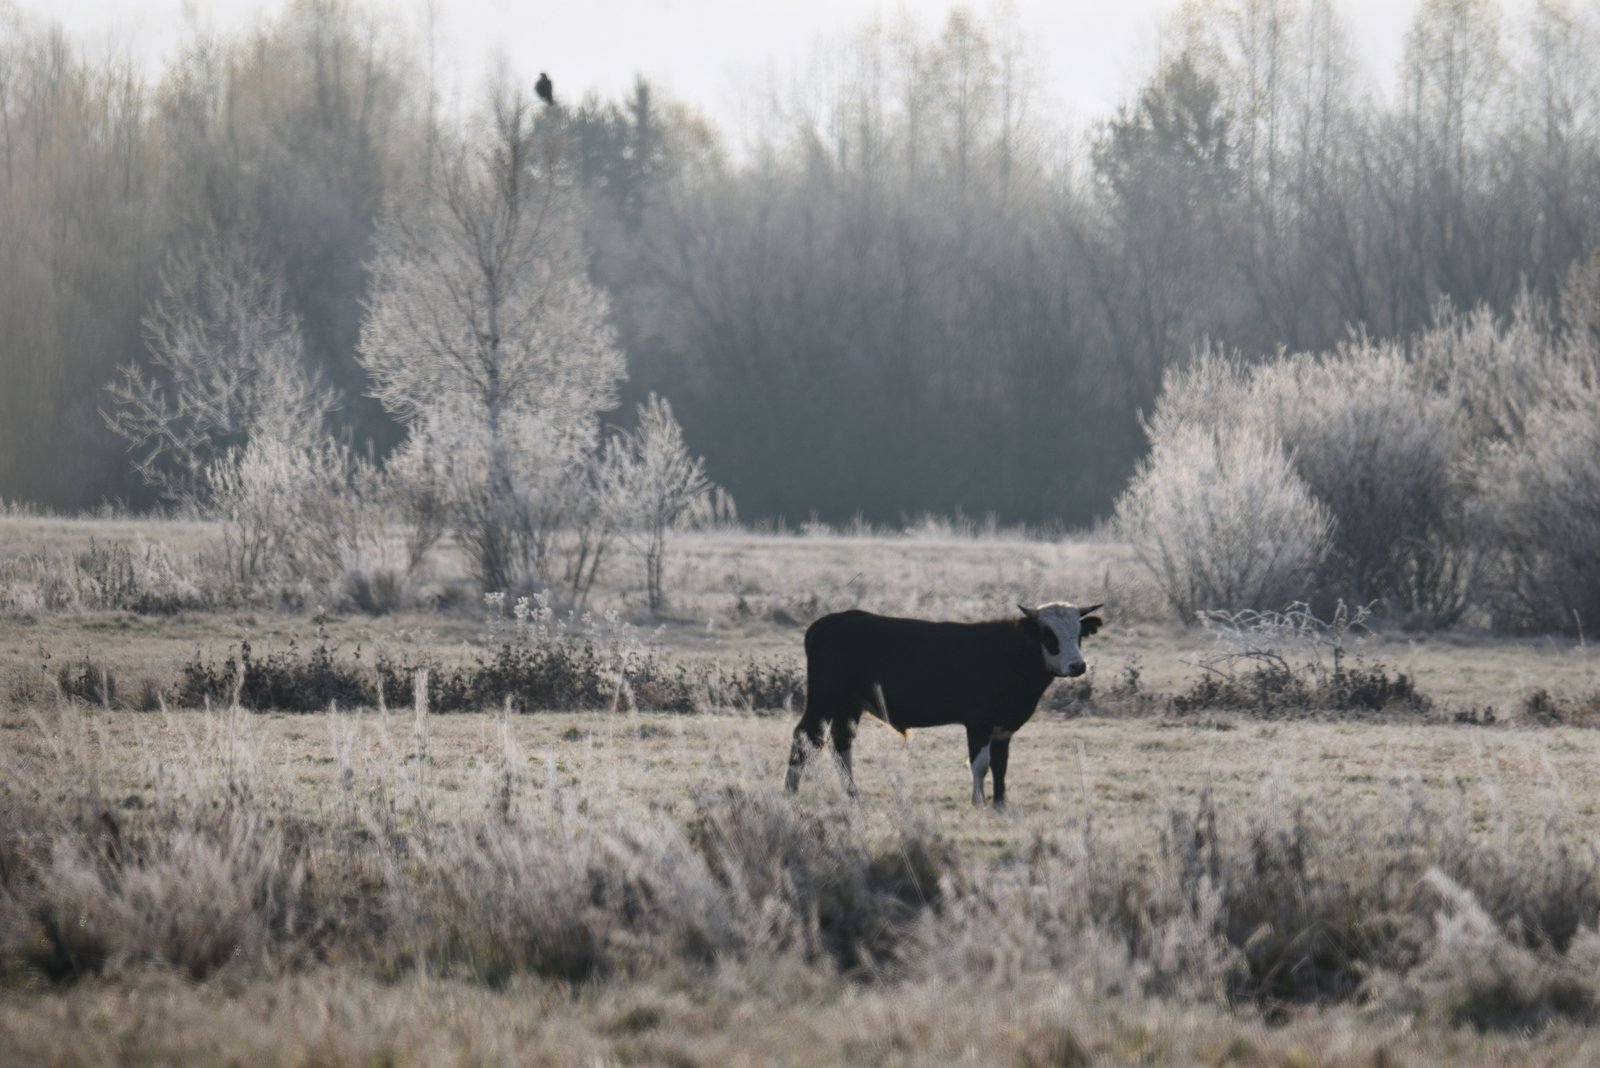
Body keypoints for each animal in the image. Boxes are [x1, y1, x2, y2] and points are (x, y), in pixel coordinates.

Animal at [784, 604, 1100, 805]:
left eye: (1079, 634)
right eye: (1049, 635)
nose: (1078, 665)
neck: (1013, 652)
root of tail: (826, 624)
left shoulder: (1004, 727)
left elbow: (1001, 764)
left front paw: (1000, 802)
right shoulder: (979, 723)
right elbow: (980, 764)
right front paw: (978, 801)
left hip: (848, 706)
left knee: (841, 745)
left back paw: (853, 795)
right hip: (823, 701)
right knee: (804, 737)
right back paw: (790, 791)